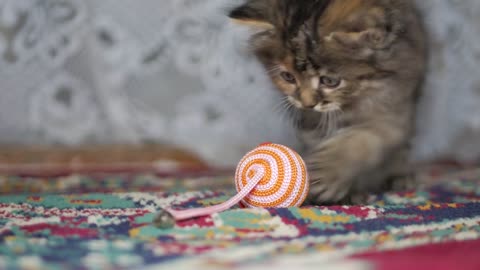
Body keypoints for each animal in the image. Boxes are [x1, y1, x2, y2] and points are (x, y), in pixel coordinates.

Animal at [230, 0, 428, 202]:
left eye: (330, 81)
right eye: (288, 77)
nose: (308, 103)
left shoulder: (394, 102)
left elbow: (364, 139)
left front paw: (327, 171)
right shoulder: (310, 121)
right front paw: (349, 192)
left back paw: (399, 175)